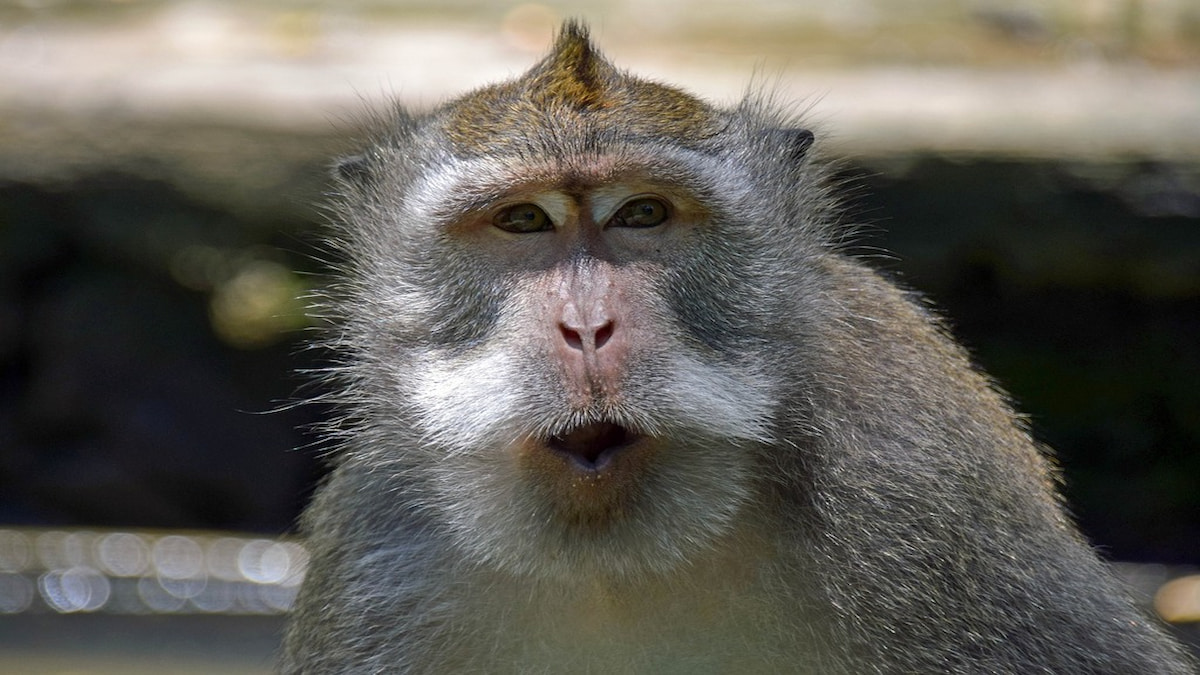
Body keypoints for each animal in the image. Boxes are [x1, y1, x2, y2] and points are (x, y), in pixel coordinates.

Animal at [279, 22, 1196, 674]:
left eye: (643, 214)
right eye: (524, 220)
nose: (588, 326)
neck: (616, 564)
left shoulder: (922, 485)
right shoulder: (380, 555)